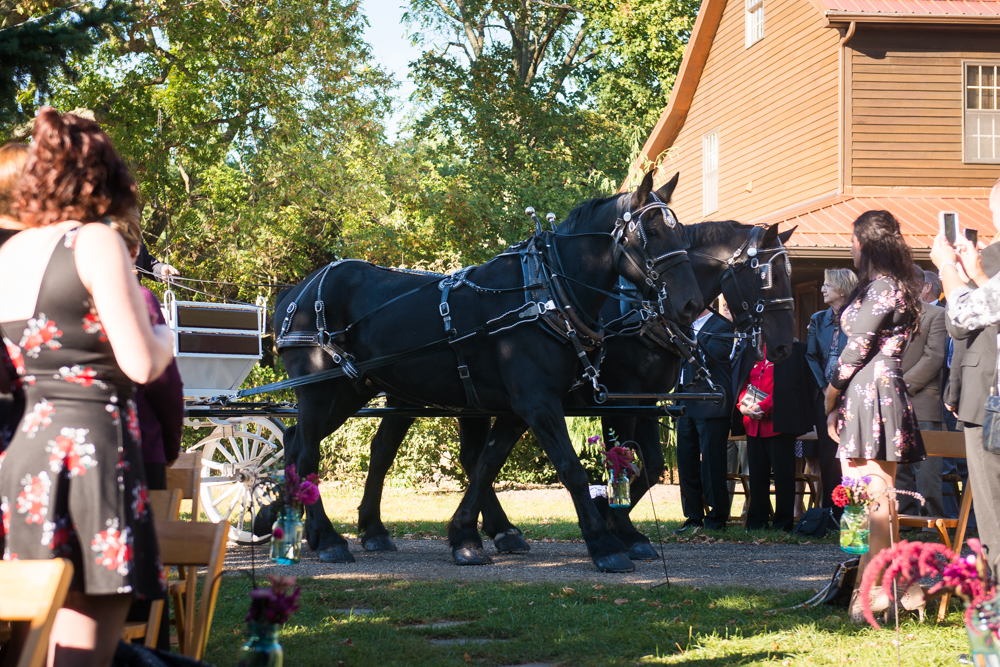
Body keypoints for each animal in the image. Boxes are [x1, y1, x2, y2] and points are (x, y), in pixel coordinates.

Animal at [274, 170, 704, 572]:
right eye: (650, 232)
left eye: (680, 232)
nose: (690, 304)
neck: (545, 293)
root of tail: (295, 292)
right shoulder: (541, 402)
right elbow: (573, 469)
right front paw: (605, 544)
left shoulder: (520, 408)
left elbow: (486, 465)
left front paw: (465, 537)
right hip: (320, 389)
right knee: (308, 452)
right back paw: (328, 538)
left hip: (354, 390)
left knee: (299, 443)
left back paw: (300, 527)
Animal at [356, 217, 792, 568]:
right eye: (767, 275)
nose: (783, 346)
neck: (642, 311)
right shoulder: (619, 398)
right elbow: (623, 463)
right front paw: (615, 527)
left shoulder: (645, 401)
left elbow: (650, 465)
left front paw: (614, 522)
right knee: (401, 453)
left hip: (437, 397)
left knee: (434, 453)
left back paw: (485, 531)